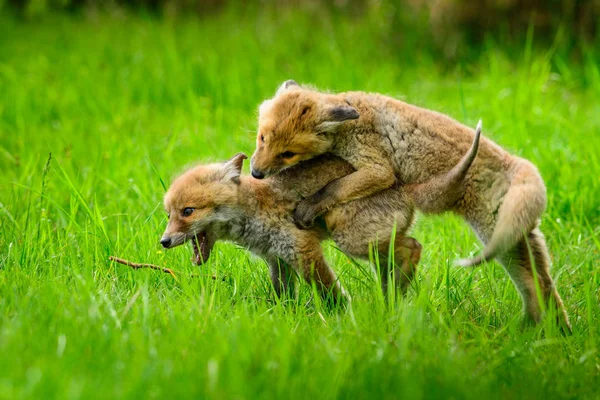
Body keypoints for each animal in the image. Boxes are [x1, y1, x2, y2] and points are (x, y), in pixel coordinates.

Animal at [250, 79, 572, 330]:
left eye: (288, 154)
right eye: (262, 138)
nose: (255, 173)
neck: (351, 122)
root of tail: (517, 163)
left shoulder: (378, 169)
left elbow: (334, 188)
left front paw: (309, 207)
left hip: (498, 238)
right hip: (515, 245)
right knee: (540, 285)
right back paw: (553, 332)